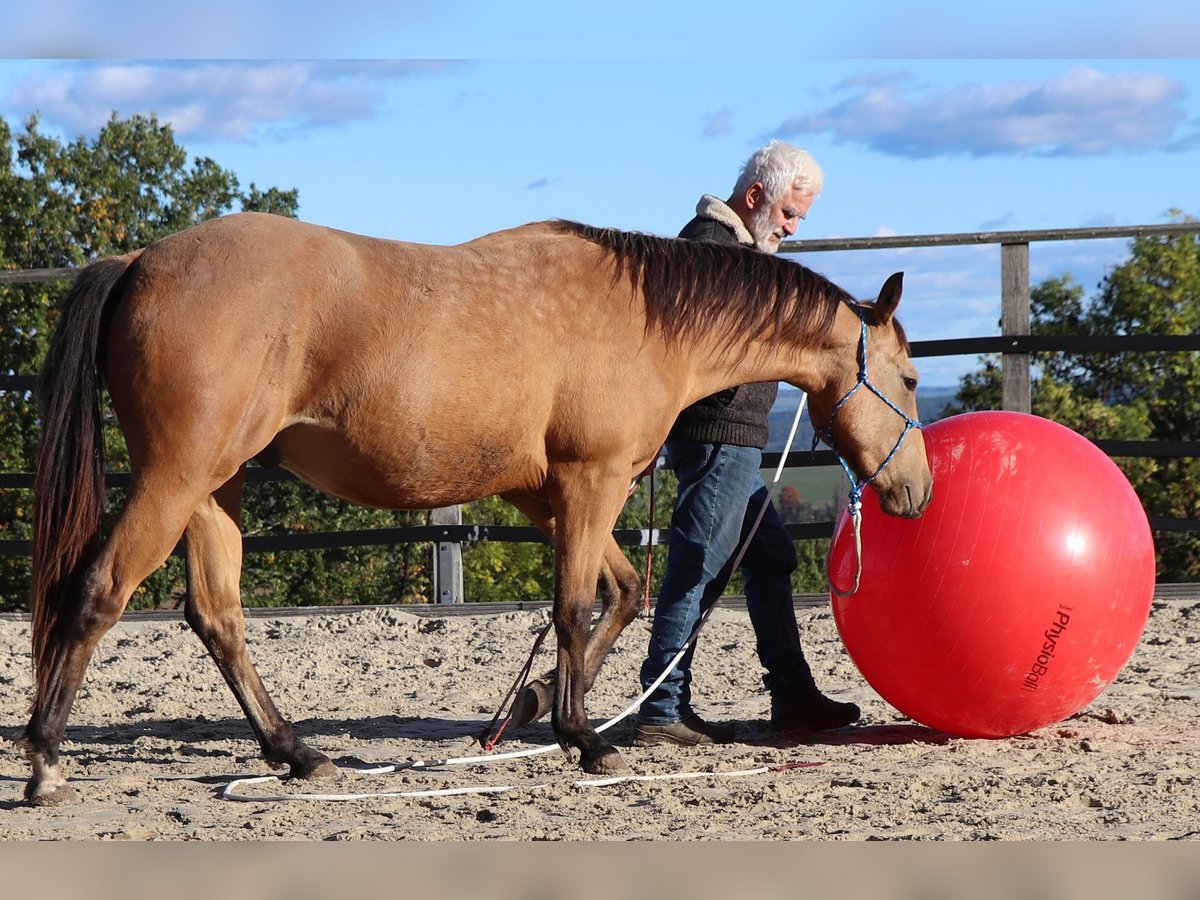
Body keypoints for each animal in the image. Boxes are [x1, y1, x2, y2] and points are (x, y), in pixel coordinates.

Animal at [17, 212, 932, 805]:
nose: (915, 492)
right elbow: (573, 606)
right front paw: (585, 739)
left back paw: (298, 755)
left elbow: (619, 595)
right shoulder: (590, 480)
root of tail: (139, 260)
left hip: (216, 488)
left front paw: (539, 708)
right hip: (176, 477)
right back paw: (45, 763)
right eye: (913, 378)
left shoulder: (546, 493)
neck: (647, 319)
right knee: (98, 592)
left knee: (216, 616)